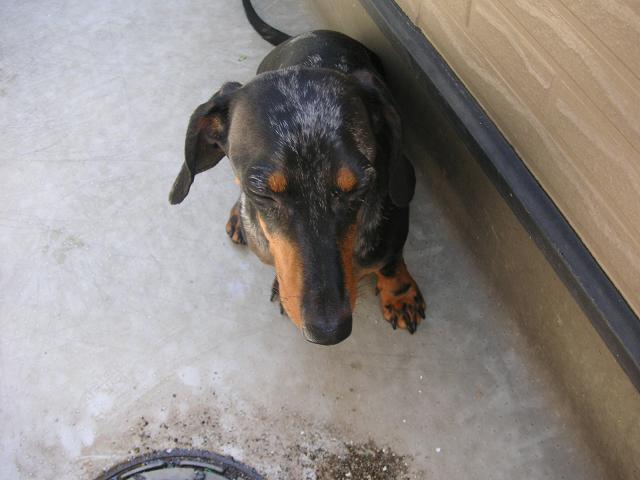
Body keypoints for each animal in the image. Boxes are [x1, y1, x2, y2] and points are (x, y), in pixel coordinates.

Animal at [168, 0, 426, 345]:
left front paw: (400, 294)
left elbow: (390, 261)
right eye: (261, 191)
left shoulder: (394, 224)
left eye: (359, 188)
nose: (329, 332)